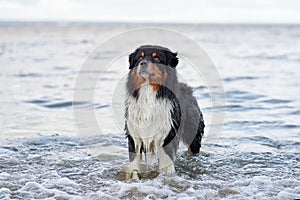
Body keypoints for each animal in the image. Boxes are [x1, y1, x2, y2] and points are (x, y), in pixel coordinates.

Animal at [124, 45, 204, 180]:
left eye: (156, 58)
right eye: (140, 57)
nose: (143, 63)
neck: (148, 91)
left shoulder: (168, 135)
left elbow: (167, 164)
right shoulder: (134, 135)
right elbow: (134, 164)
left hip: (192, 134)